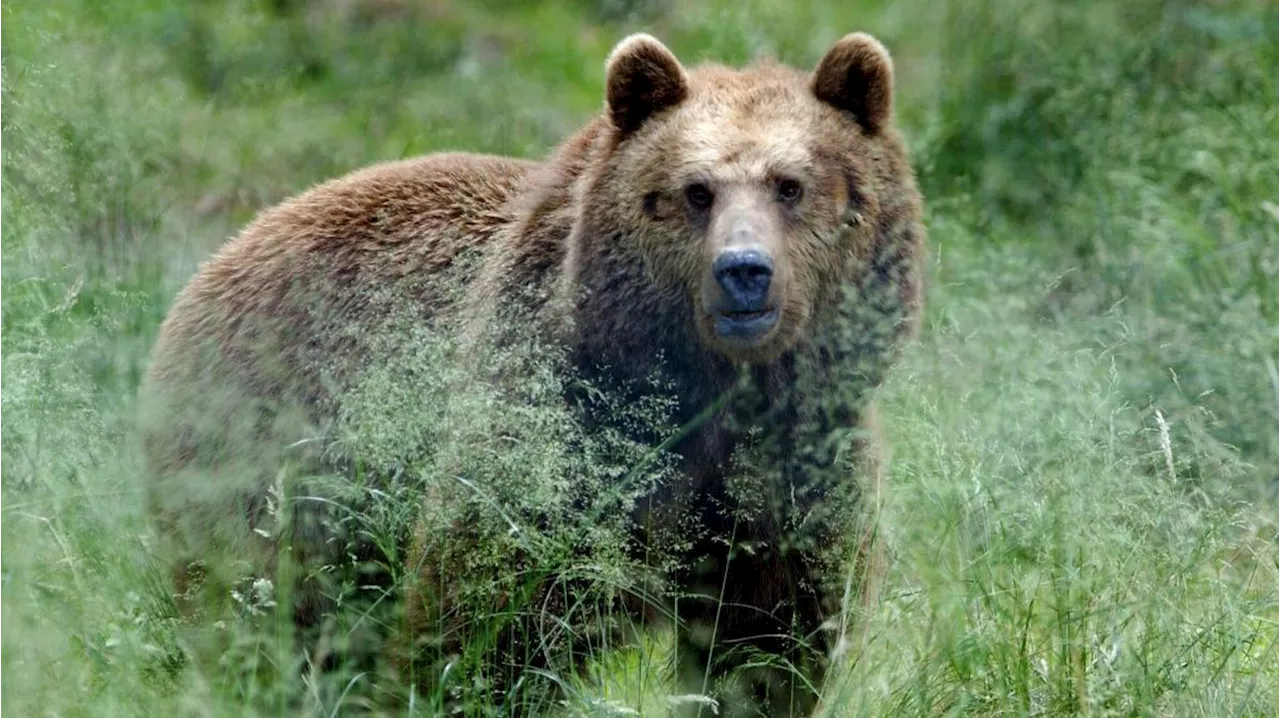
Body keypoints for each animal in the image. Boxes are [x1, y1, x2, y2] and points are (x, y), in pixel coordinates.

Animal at [137, 29, 921, 716]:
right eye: (695, 191)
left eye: (790, 185)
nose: (743, 272)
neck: (707, 394)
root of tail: (220, 258)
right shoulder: (560, 434)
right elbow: (492, 621)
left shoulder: (794, 468)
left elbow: (768, 643)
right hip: (273, 459)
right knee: (264, 615)